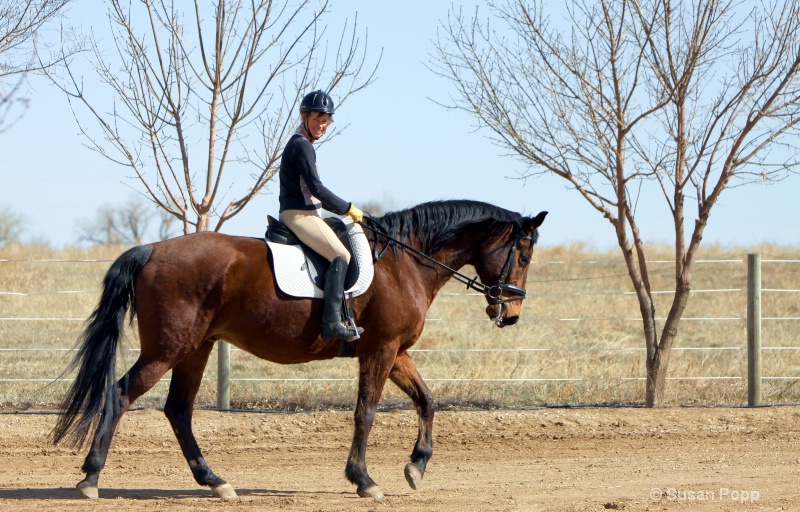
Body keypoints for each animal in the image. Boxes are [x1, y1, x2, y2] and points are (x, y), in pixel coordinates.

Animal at [53, 200, 548, 500]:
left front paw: (417, 466)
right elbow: (366, 412)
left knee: (177, 410)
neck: (405, 261)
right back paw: (91, 477)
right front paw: (364, 480)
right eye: (523, 255)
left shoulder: (395, 352)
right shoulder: (381, 350)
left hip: (196, 348)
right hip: (168, 349)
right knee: (121, 395)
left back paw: (215, 482)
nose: (511, 313)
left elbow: (427, 400)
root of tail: (151, 249)